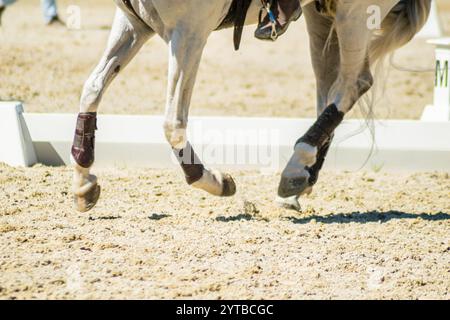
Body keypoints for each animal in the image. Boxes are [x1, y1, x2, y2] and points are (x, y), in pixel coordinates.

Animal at [70, 0, 432, 212]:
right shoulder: (134, 22)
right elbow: (92, 87)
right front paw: (84, 181)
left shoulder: (189, 32)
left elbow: (173, 122)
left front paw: (213, 180)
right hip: (323, 14)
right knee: (331, 87)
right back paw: (302, 177)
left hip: (355, 12)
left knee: (351, 84)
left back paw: (296, 166)